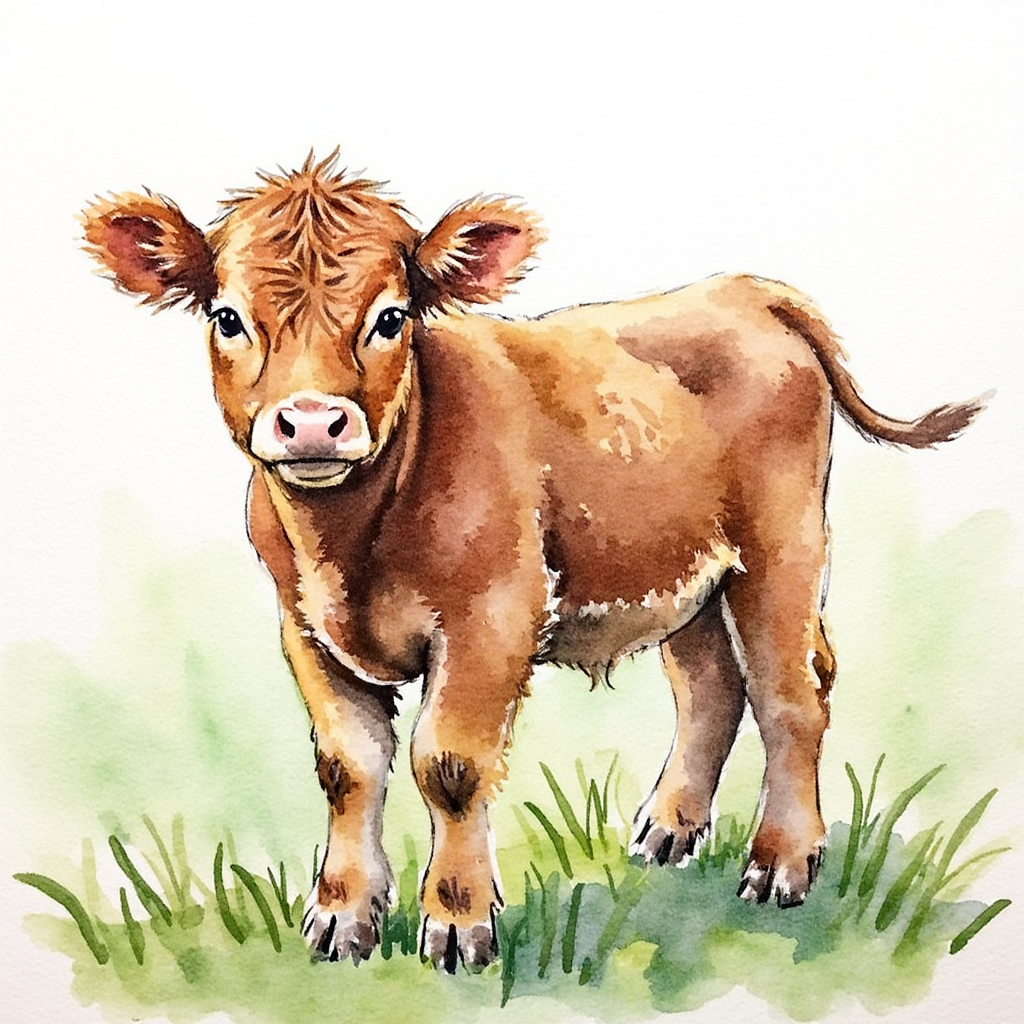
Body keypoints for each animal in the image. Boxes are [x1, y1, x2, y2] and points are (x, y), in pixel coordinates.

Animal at [81, 152, 984, 973]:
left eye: (391, 317)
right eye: (228, 318)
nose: (309, 422)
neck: (349, 543)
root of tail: (742, 290)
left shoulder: (493, 616)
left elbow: (447, 763)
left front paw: (455, 923)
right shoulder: (303, 627)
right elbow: (348, 767)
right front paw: (342, 917)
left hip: (781, 547)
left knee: (793, 689)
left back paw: (782, 863)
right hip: (682, 573)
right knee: (711, 686)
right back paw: (668, 829)